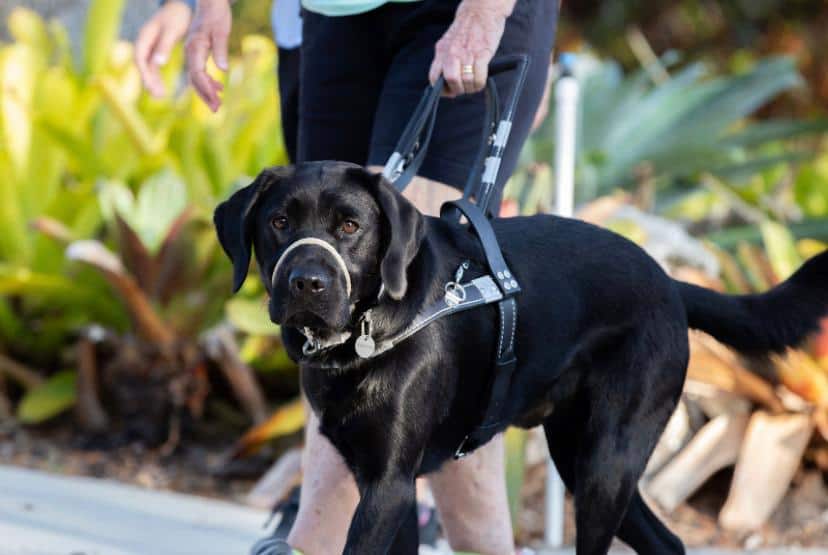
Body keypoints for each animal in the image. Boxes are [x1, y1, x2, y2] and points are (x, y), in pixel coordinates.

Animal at [215, 161, 828, 555]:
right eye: (279, 222)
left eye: (350, 226)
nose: (306, 283)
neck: (368, 331)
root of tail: (670, 282)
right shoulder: (389, 486)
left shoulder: (388, 487)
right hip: (581, 456)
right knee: (669, 542)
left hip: (605, 464)